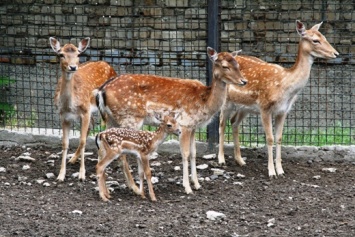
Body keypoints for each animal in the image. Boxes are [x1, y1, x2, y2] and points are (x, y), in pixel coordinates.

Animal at [50, 37, 117, 181]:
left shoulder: (85, 111)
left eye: (78, 54)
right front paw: (61, 175)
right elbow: (65, 143)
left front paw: (82, 175)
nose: (73, 67)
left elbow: (82, 141)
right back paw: (73, 159)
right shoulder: (63, 116)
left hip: (105, 106)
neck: (69, 105)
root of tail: (109, 66)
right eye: (61, 54)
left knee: (106, 127)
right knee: (92, 125)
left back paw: (101, 158)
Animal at [94, 46, 248, 194]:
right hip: (130, 119)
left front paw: (197, 184)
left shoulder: (193, 127)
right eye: (225, 66)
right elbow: (185, 154)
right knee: (121, 155)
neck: (205, 101)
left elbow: (193, 153)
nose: (244, 81)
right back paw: (134, 188)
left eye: (237, 64)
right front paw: (187, 187)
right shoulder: (185, 124)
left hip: (111, 120)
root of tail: (101, 91)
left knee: (102, 149)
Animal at [218, 19, 340, 176]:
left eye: (324, 37)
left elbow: (279, 138)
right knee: (221, 123)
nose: (336, 53)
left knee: (234, 122)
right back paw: (221, 159)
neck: (285, 86)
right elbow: (269, 139)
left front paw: (281, 170)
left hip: (245, 107)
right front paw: (271, 172)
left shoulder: (283, 111)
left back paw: (240, 160)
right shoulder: (265, 107)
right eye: (315, 40)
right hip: (226, 101)